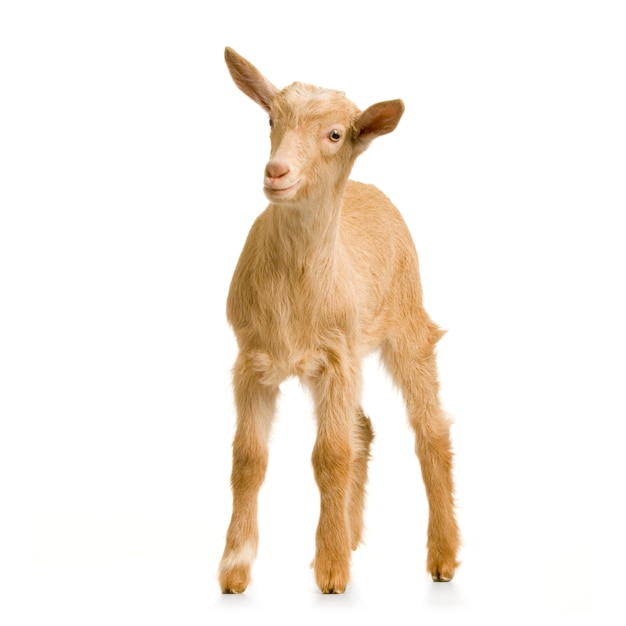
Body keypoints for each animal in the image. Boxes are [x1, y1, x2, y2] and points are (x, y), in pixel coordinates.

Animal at [219, 46, 458, 592]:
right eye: (270, 119)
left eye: (334, 134)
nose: (277, 172)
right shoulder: (252, 360)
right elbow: (248, 459)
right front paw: (235, 569)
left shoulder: (336, 358)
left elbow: (329, 457)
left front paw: (331, 572)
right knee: (362, 430)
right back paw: (349, 535)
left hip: (406, 324)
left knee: (429, 430)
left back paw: (443, 556)